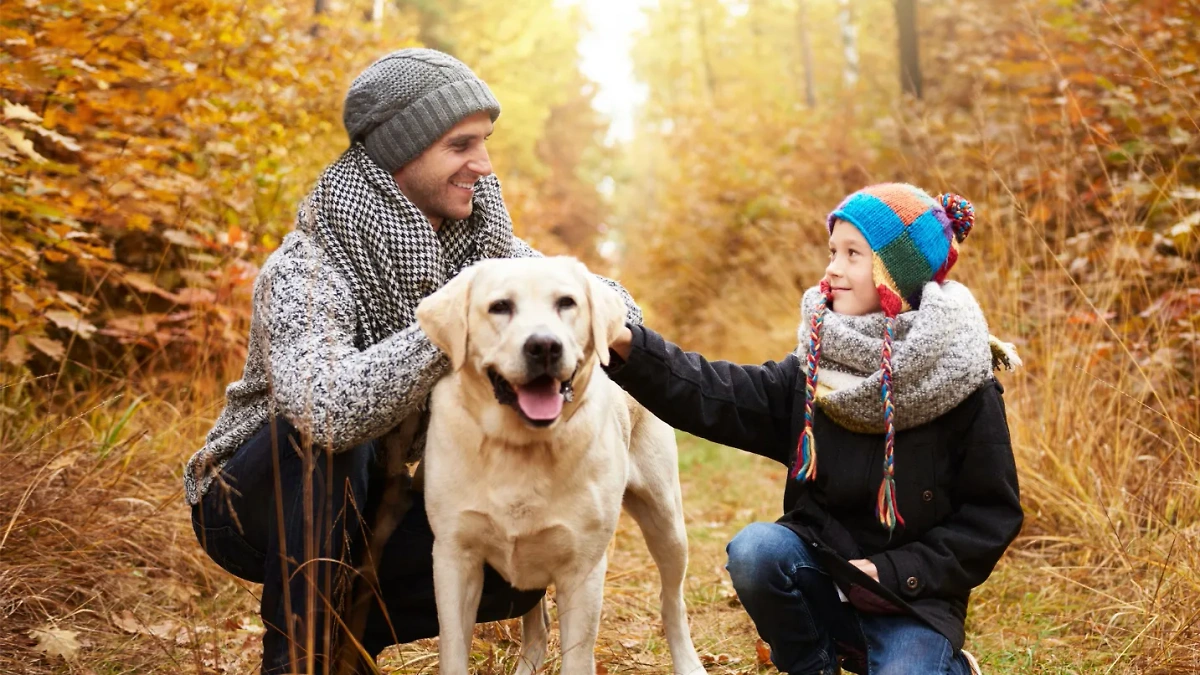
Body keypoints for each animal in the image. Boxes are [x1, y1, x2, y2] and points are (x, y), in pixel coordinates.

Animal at [417, 254, 705, 667]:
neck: (521, 445)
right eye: (500, 306)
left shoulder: (583, 570)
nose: (544, 346)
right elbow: (454, 652)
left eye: (566, 303)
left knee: (672, 600)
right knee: (537, 630)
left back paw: (687, 661)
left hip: (666, 520)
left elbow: (577, 658)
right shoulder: (454, 558)